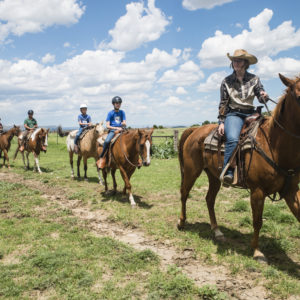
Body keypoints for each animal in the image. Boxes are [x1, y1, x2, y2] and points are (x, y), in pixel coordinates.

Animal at [177, 74, 300, 262]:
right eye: (299, 96)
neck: (274, 144)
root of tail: (194, 130)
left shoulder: (291, 190)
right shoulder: (257, 191)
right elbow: (257, 221)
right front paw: (256, 251)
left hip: (214, 176)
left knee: (209, 199)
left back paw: (217, 231)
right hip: (192, 171)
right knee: (184, 193)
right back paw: (182, 222)